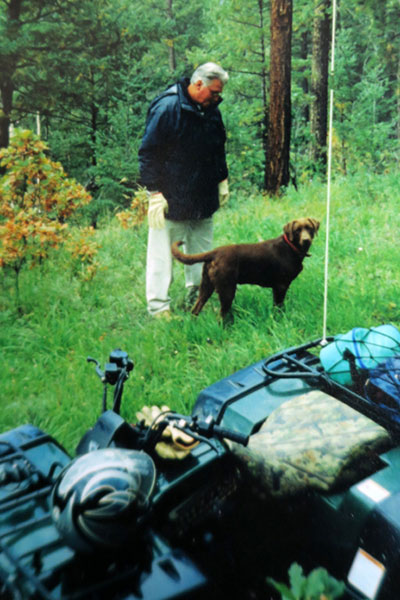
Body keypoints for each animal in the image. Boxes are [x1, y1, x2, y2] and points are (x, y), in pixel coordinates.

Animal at [171, 217, 318, 318]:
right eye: (297, 230)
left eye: (309, 228)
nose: (306, 240)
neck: (290, 247)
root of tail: (214, 252)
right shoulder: (280, 286)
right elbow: (278, 307)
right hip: (227, 289)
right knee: (221, 315)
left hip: (206, 287)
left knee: (195, 310)